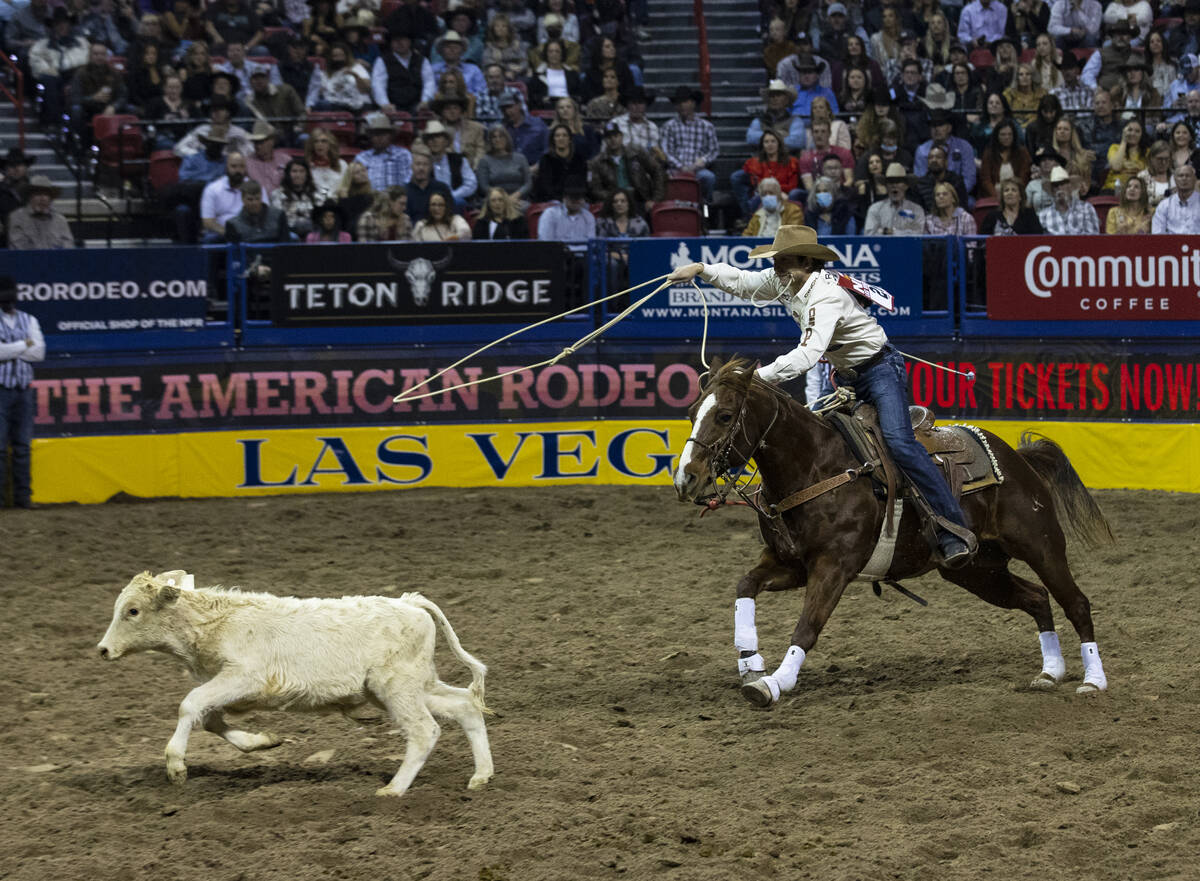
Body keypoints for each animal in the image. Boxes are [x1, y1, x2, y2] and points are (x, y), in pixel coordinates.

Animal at [96, 573, 494, 801]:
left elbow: (190, 705)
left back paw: (394, 789)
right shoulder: (229, 686)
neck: (215, 623)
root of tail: (410, 603)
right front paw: (261, 742)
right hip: (411, 686)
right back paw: (481, 776)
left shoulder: (243, 676)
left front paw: (176, 766)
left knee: (425, 731)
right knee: (465, 706)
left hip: (396, 688)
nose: (102, 650)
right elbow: (209, 719)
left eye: (132, 611)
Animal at [676, 360, 1113, 710]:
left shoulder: (834, 567)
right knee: (1037, 599)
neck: (817, 466)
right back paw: (1050, 672)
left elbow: (808, 627)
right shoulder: (790, 564)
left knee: (1076, 602)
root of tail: (1019, 460)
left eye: (725, 416)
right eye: (694, 412)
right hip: (977, 570)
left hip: (1041, 545)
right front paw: (750, 664)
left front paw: (773, 683)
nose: (686, 479)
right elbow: (745, 586)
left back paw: (1093, 680)